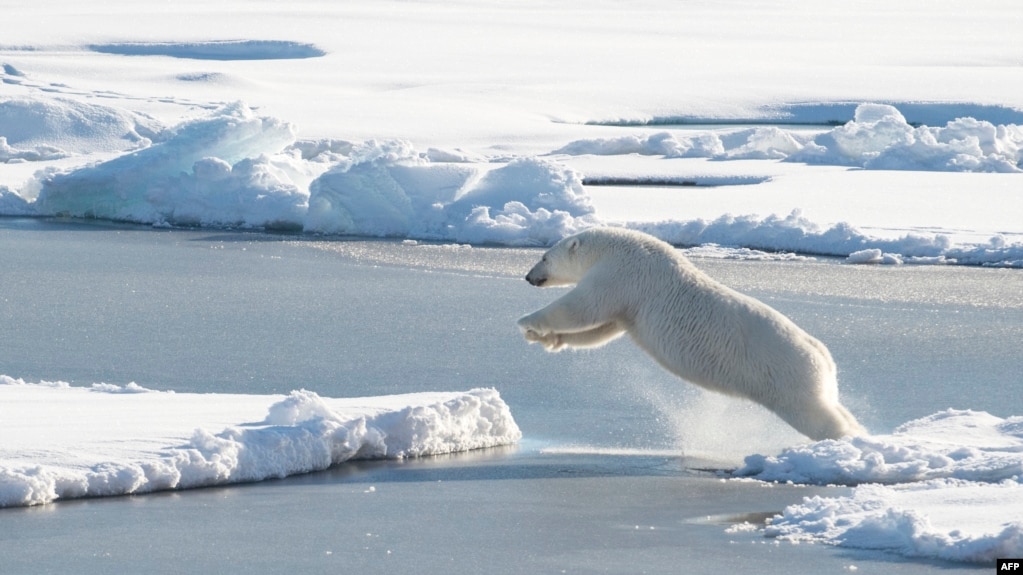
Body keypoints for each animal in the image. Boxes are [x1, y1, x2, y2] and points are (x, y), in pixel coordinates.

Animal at [519, 227, 863, 437]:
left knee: (815, 416)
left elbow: (584, 307)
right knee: (832, 405)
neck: (613, 247)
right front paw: (547, 339)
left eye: (544, 257)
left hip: (784, 375)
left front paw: (527, 321)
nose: (527, 277)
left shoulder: (622, 274)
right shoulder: (628, 301)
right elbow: (603, 329)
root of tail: (822, 355)